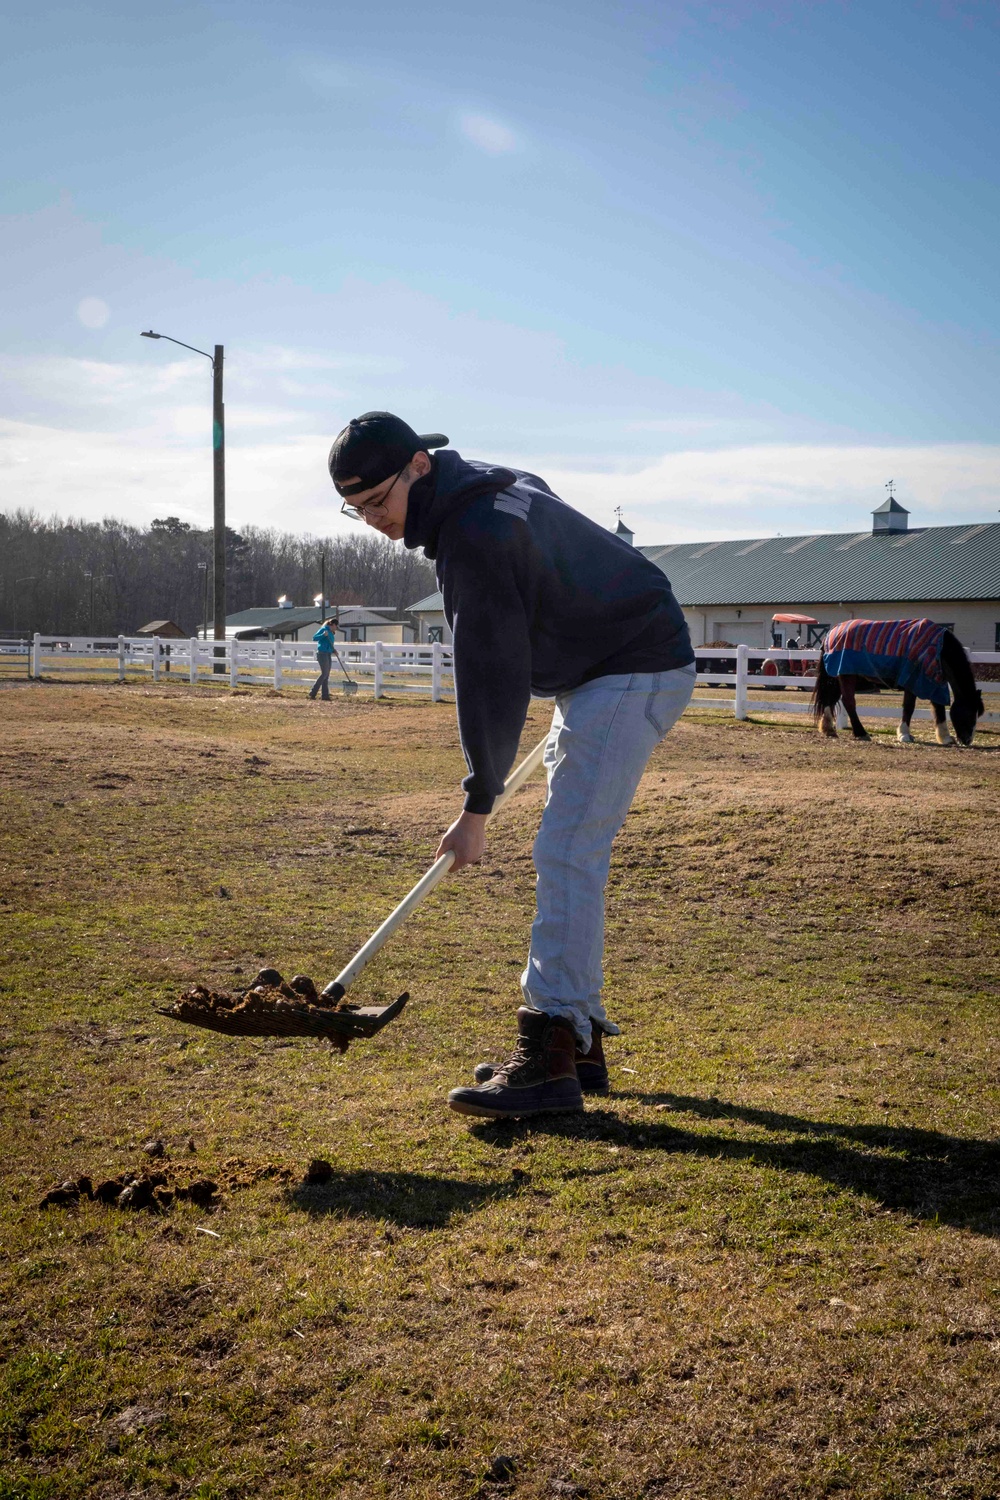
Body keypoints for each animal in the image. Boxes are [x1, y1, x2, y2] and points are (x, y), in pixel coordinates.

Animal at [815, 615, 983, 744]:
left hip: (837, 677)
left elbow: (939, 708)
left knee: (830, 698)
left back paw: (829, 729)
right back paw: (861, 732)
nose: (967, 740)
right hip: (846, 676)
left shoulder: (934, 683)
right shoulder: (912, 681)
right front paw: (904, 734)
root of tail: (831, 632)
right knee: (848, 701)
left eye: (977, 714)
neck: (937, 648)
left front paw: (945, 737)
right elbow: (909, 707)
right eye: (969, 713)